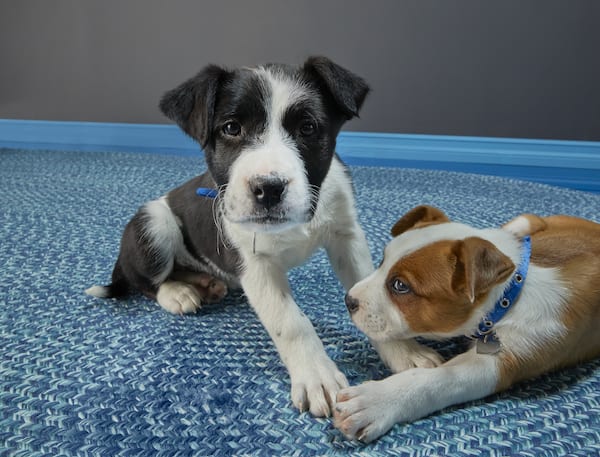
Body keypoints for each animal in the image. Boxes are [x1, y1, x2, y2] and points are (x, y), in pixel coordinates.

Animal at [85, 57, 440, 416]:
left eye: (307, 128)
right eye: (231, 128)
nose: (269, 188)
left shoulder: (346, 237)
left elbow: (371, 294)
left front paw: (404, 352)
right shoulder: (254, 264)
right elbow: (291, 322)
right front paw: (317, 375)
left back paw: (205, 283)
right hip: (155, 222)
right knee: (146, 281)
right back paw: (178, 292)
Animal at [332, 205, 600, 440]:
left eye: (400, 285)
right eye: (381, 263)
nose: (348, 300)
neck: (510, 293)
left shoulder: (504, 360)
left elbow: (436, 380)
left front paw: (375, 402)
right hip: (524, 223)